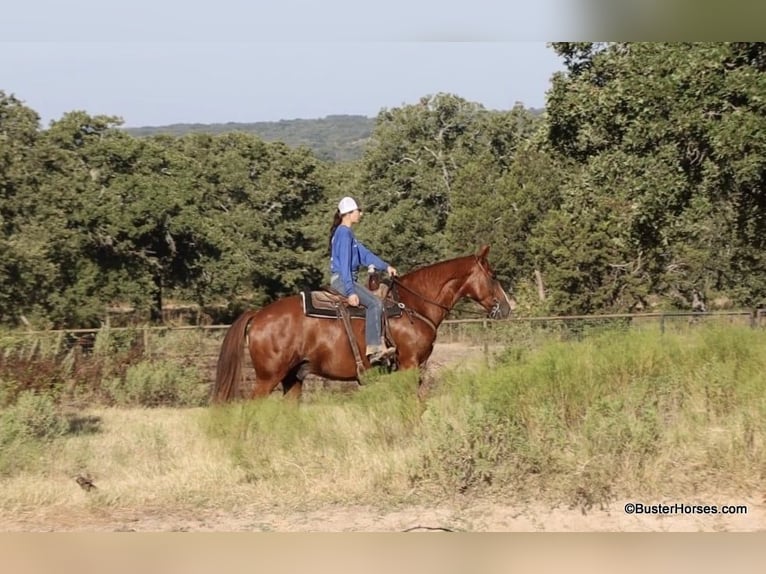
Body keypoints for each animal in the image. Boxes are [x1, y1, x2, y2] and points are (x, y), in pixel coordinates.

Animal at [211, 245, 514, 402]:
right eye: (493, 275)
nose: (507, 307)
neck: (413, 306)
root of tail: (258, 314)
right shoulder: (410, 365)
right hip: (268, 378)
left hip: (293, 377)